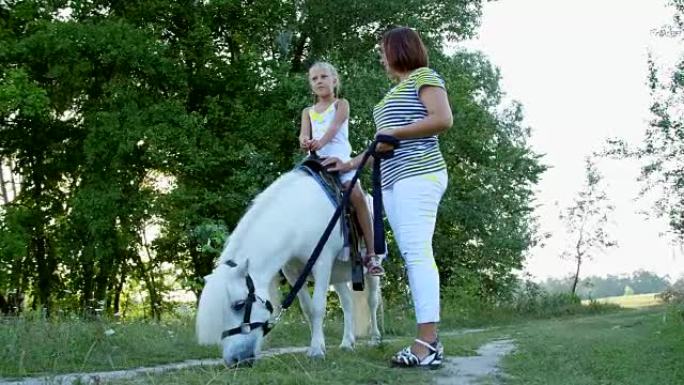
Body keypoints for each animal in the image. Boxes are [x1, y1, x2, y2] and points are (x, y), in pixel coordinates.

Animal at [195, 170, 382, 364]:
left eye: (238, 305)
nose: (235, 360)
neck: (298, 219)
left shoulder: (322, 265)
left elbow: (318, 307)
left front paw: (317, 350)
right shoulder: (292, 273)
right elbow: (308, 309)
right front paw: (316, 345)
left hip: (370, 272)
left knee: (372, 300)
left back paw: (376, 338)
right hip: (336, 275)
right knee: (347, 302)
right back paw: (347, 342)